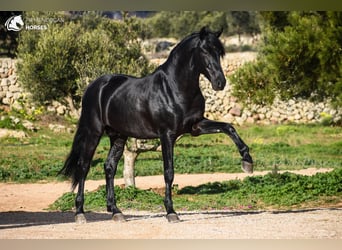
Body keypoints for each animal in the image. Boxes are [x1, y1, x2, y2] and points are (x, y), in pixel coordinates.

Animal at [58, 26, 252, 223]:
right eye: (205, 50)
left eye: (219, 52)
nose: (220, 82)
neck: (175, 88)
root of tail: (95, 86)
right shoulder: (167, 135)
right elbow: (169, 172)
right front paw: (171, 212)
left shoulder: (196, 126)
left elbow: (229, 127)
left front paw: (247, 161)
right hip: (93, 132)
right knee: (83, 167)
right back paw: (80, 213)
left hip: (118, 135)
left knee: (109, 167)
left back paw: (116, 211)